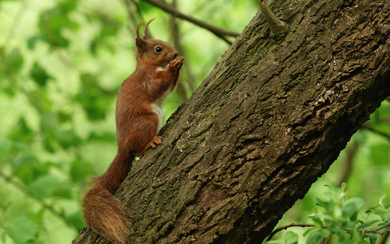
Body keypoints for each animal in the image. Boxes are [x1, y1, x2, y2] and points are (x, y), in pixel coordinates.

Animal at [82, 19, 184, 244]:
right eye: (158, 49)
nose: (175, 53)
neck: (151, 66)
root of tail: (122, 148)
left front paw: (178, 63)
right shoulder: (147, 79)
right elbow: (158, 86)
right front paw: (174, 67)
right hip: (147, 122)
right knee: (136, 150)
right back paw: (149, 143)